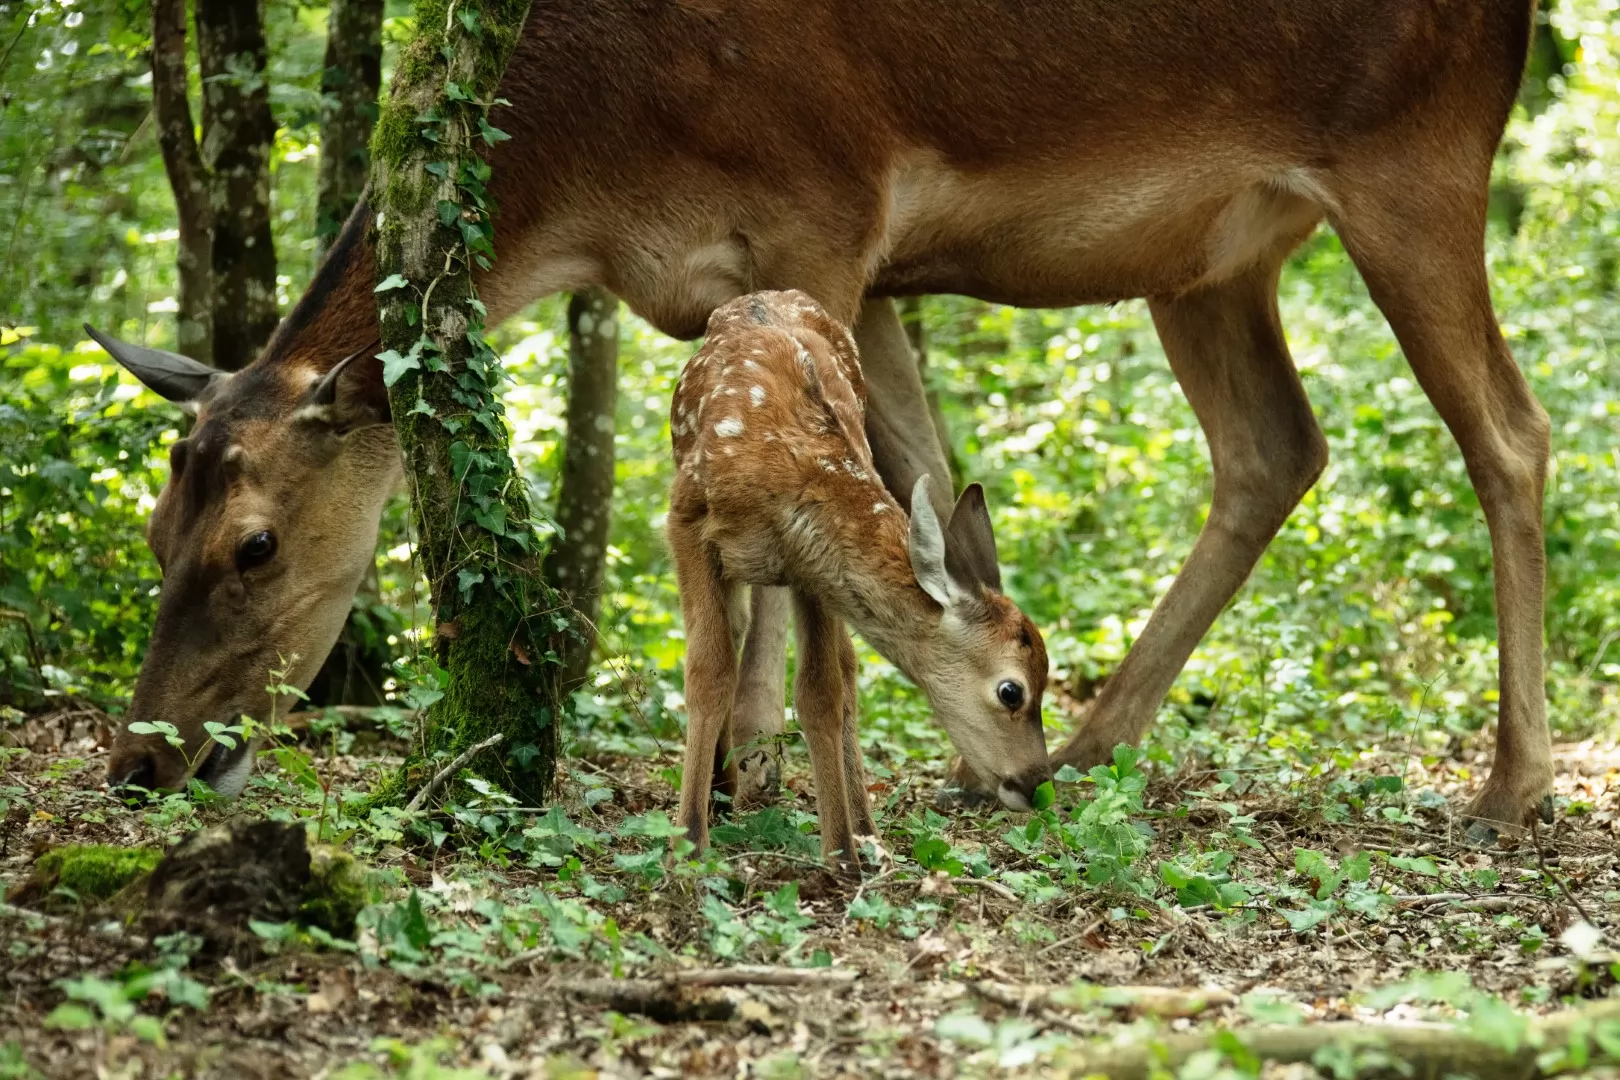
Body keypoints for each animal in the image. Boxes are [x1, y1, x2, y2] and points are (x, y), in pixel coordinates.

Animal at [98, 0, 1555, 841]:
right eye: (156, 525)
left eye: (253, 544)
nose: (141, 765)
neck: (592, 184)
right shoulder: (813, 281)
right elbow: (915, 478)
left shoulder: (829, 207)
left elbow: (840, 515)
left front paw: (755, 775)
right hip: (1209, 256)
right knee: (1274, 448)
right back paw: (1091, 747)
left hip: (1418, 159)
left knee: (1511, 433)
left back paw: (1512, 786)